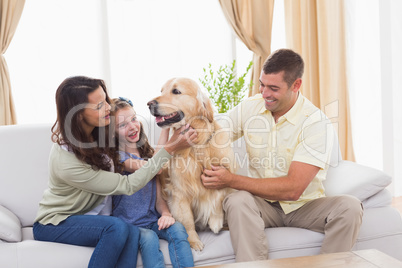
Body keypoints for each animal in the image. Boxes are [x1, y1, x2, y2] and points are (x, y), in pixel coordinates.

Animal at [148, 77, 236, 251]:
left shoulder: (224, 173)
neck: (197, 145)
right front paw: (194, 240)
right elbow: (187, 220)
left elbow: (219, 194)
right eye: (162, 91)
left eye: (176, 91)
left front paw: (216, 221)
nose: (149, 104)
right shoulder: (179, 192)